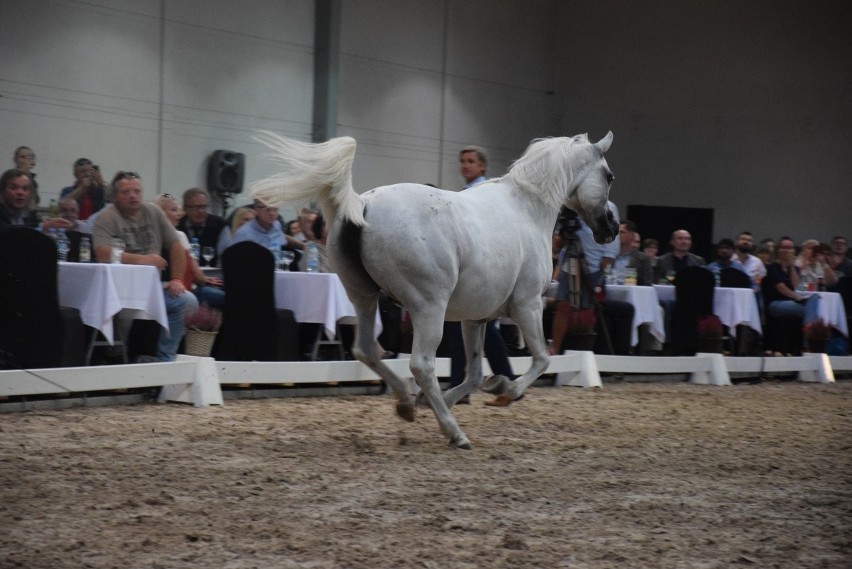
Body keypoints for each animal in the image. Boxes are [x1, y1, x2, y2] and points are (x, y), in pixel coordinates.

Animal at [250, 132, 616, 448]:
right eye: (609, 176)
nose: (610, 228)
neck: (527, 207)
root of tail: (362, 205)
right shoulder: (528, 305)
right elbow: (541, 359)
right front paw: (504, 392)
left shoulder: (475, 319)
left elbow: (473, 373)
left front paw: (456, 394)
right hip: (429, 307)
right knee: (421, 364)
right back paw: (454, 433)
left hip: (364, 298)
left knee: (366, 350)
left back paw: (406, 402)